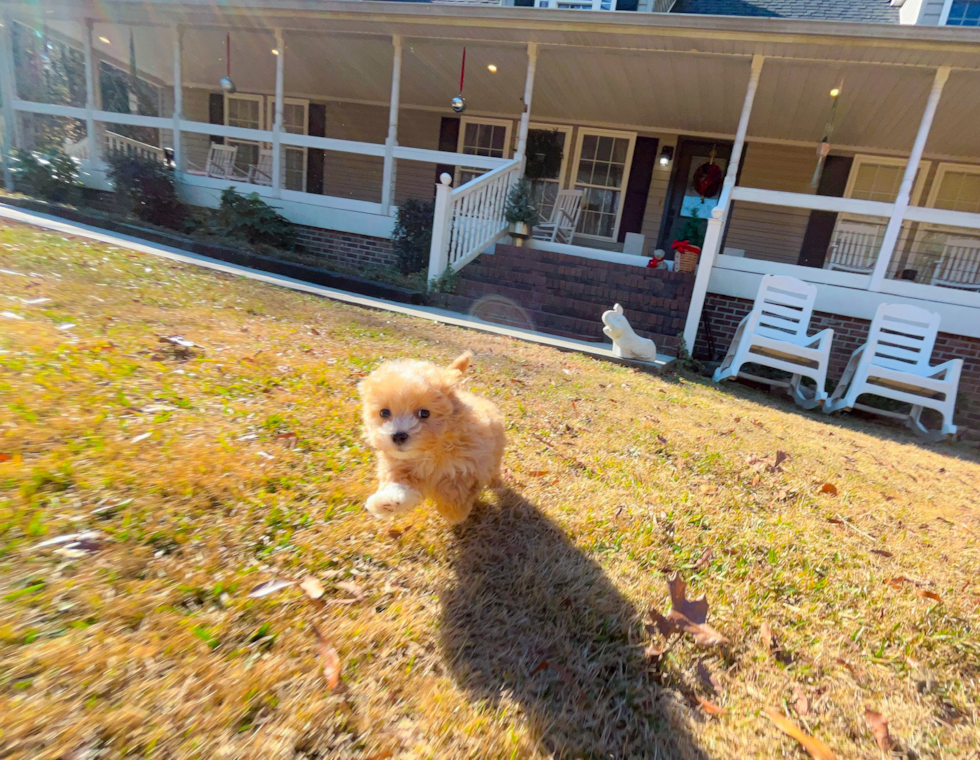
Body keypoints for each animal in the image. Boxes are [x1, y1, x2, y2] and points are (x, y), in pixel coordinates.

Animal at [358, 350, 506, 524]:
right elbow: (398, 484)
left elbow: (454, 491)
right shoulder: (399, 465)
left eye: (424, 413)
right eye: (384, 413)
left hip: (496, 453)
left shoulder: (467, 466)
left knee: (494, 469)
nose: (398, 436)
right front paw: (387, 502)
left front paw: (454, 513)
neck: (429, 452)